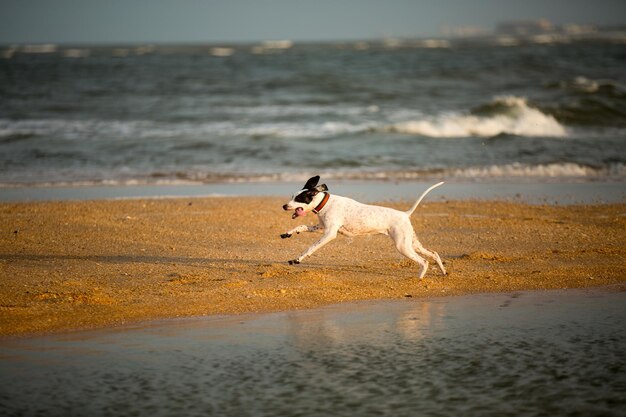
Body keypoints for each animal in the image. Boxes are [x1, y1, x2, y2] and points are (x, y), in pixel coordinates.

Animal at [280, 174, 446, 278]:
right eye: (292, 196)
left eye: (299, 198)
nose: (284, 206)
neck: (325, 203)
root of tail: (405, 214)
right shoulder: (321, 228)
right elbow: (301, 226)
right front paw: (288, 233)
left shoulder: (329, 234)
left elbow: (311, 247)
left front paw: (298, 259)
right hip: (412, 243)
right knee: (434, 254)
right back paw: (443, 272)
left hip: (403, 246)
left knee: (424, 261)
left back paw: (419, 278)